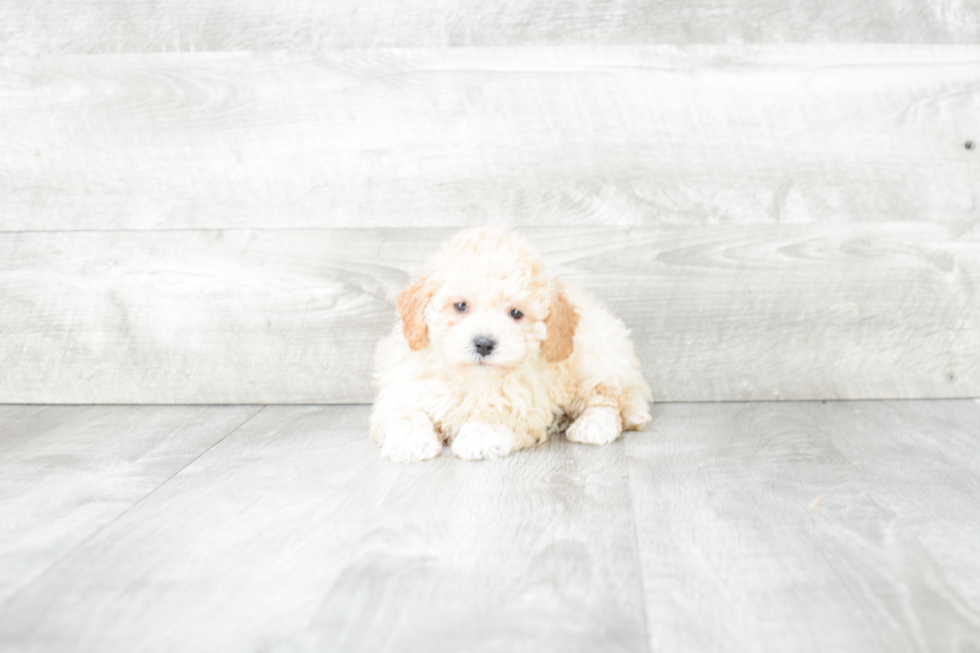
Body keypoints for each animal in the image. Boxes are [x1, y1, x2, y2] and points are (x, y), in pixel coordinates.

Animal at [372, 227, 656, 460]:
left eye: (516, 313)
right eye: (461, 306)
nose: (484, 344)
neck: (470, 378)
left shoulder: (524, 400)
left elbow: (496, 412)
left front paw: (480, 438)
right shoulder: (405, 387)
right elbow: (404, 413)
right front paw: (410, 442)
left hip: (594, 362)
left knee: (608, 400)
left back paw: (592, 426)